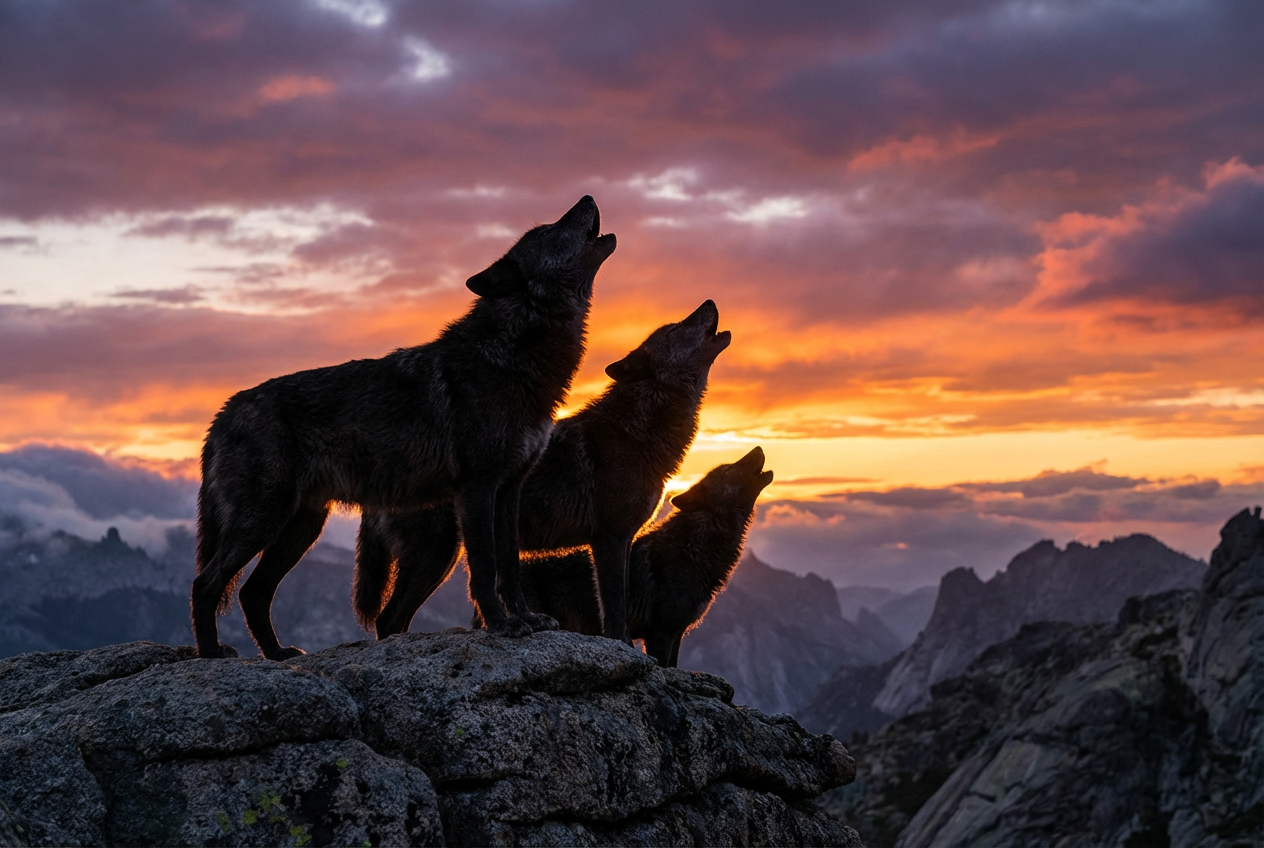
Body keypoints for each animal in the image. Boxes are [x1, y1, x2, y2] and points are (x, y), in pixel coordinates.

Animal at [191, 196, 615, 659]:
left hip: (301, 528)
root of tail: (224, 413)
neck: (513, 356)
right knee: (205, 584)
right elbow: (486, 568)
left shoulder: (509, 489)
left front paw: (527, 619)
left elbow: (509, 565)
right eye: (550, 230)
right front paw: (503, 626)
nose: (588, 198)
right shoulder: (478, 487)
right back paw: (211, 653)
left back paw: (277, 655)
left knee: (253, 592)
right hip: (265, 520)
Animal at [356, 300, 731, 642]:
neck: (638, 431)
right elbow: (615, 612)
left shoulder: (620, 540)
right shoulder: (610, 538)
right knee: (388, 619)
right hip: (436, 556)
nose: (710, 301)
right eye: (674, 330)